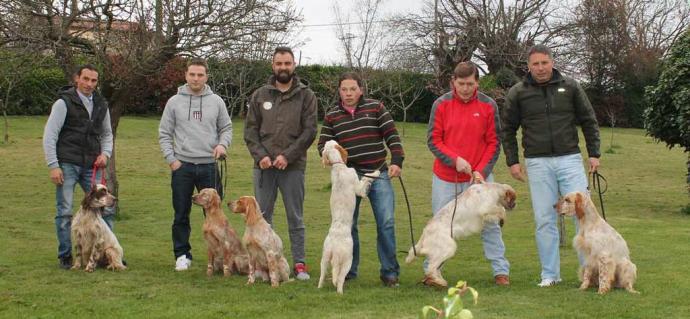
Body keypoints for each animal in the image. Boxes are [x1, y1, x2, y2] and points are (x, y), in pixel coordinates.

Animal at [316, 141, 376, 296]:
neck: (339, 168)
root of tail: (335, 248)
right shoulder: (358, 188)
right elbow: (366, 177)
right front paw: (376, 173)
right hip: (347, 260)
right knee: (339, 280)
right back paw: (340, 292)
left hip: (324, 258)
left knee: (322, 276)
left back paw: (319, 287)